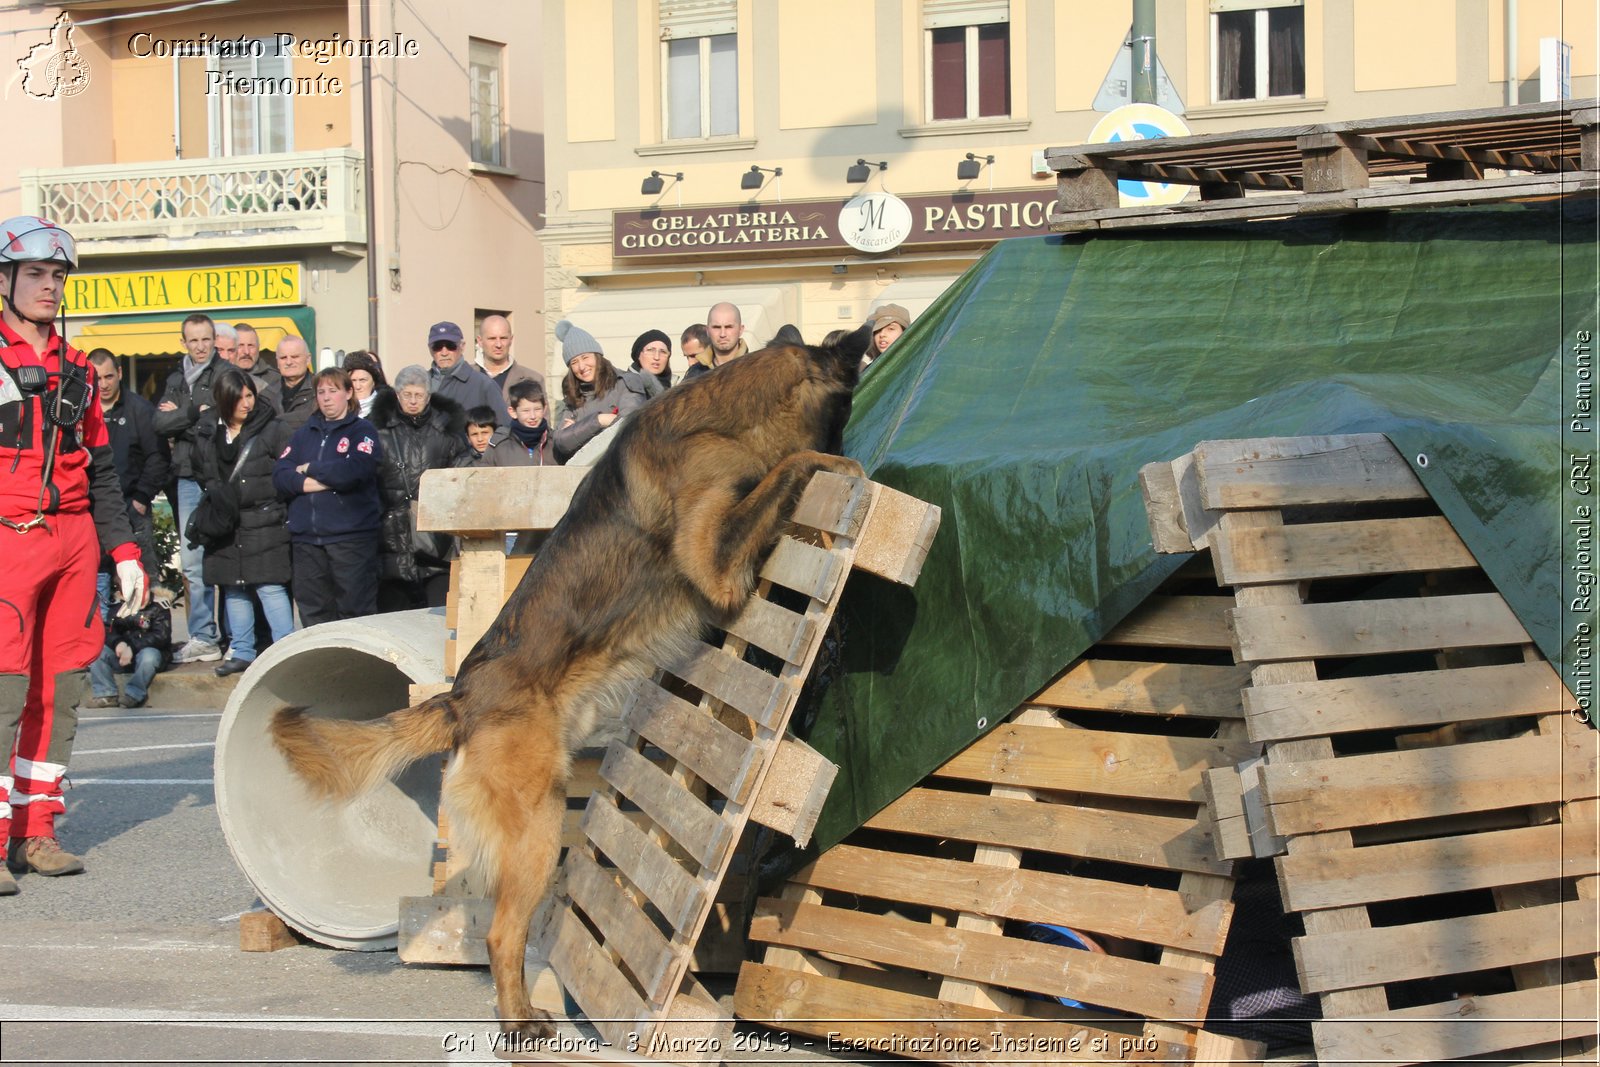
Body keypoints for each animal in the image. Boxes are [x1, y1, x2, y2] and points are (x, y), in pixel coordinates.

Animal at [268, 323, 870, 1036]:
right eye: (845, 413)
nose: (857, 446)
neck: (722, 419)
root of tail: (460, 699)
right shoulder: (716, 564)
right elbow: (786, 466)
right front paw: (834, 466)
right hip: (537, 831)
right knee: (501, 933)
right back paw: (519, 1021)